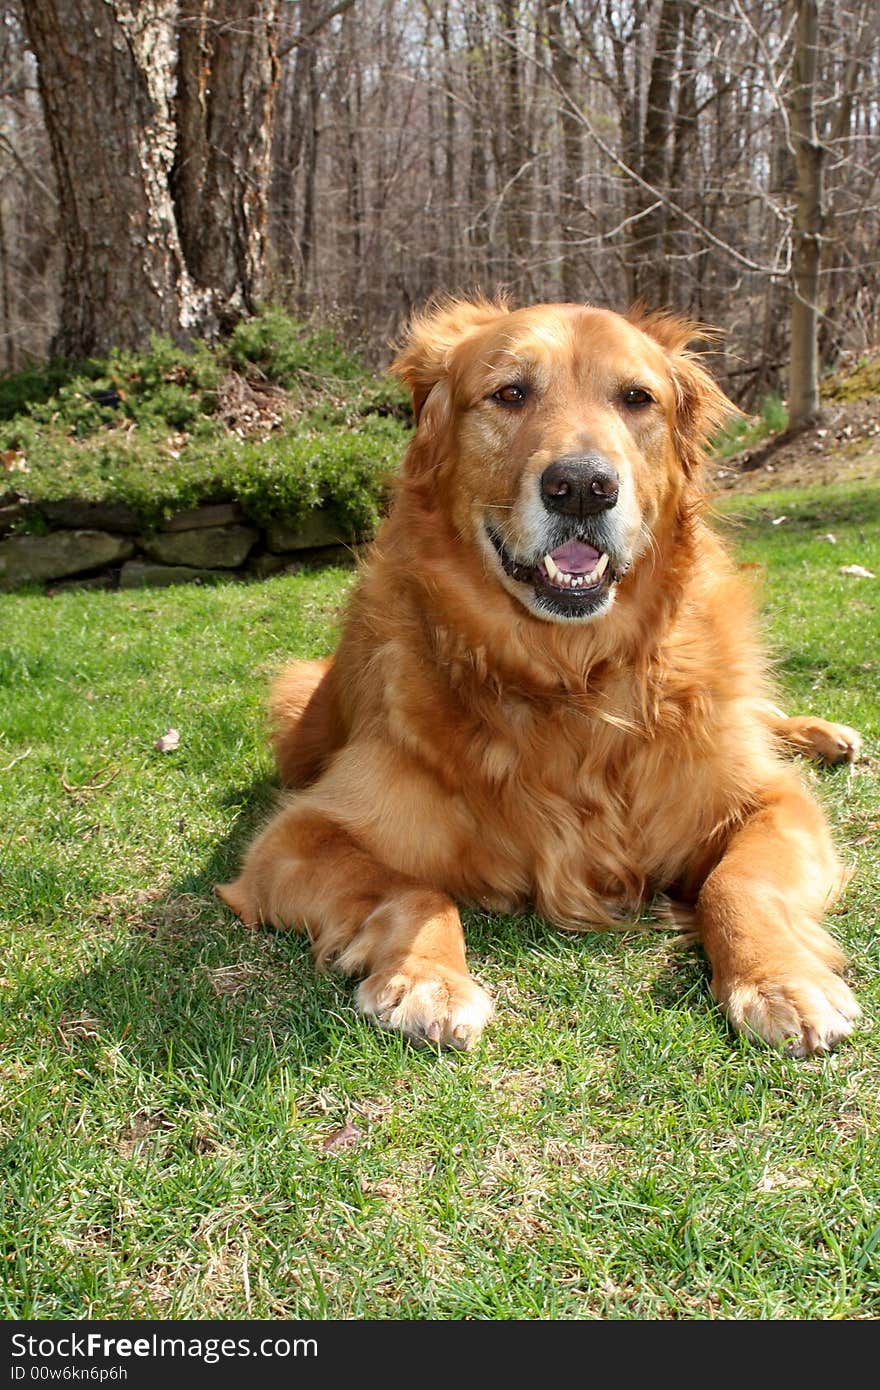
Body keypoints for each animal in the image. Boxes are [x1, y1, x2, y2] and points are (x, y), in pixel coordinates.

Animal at [218, 296, 856, 1050]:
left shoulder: (770, 801)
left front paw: (781, 980)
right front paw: (426, 977)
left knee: (762, 717)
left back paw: (827, 734)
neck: (567, 678)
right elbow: (415, 889)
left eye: (636, 398)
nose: (581, 487)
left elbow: (738, 883)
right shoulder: (296, 837)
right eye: (511, 393)